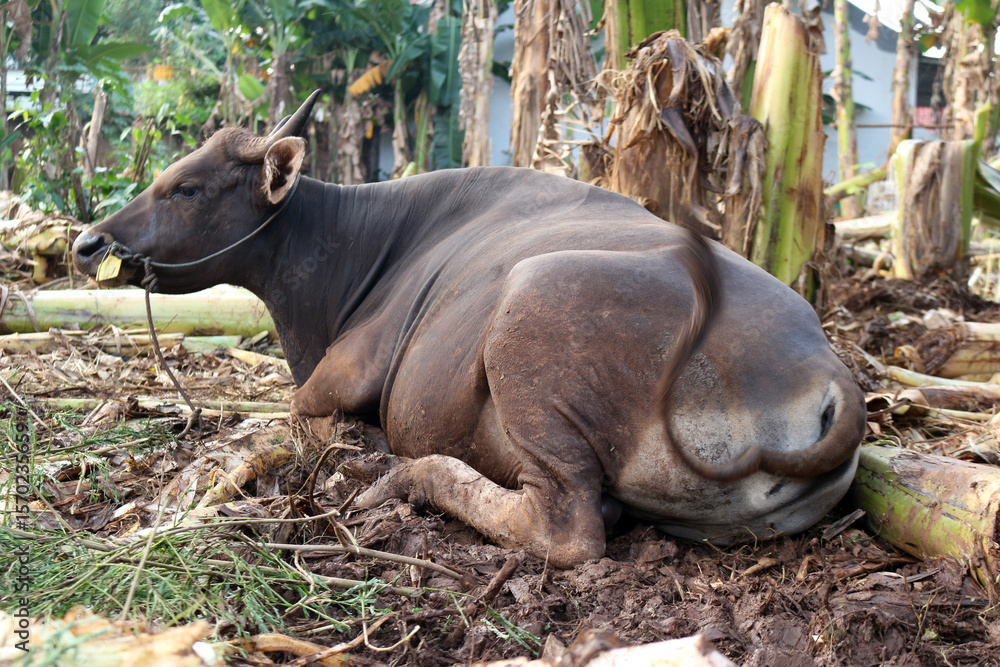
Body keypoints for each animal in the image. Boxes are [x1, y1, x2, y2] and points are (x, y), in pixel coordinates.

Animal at [73, 91, 866, 568]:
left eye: (185, 188)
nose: (87, 242)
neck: (352, 249)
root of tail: (832, 378)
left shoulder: (343, 373)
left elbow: (299, 415)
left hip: (530, 307)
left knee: (569, 526)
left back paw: (399, 476)